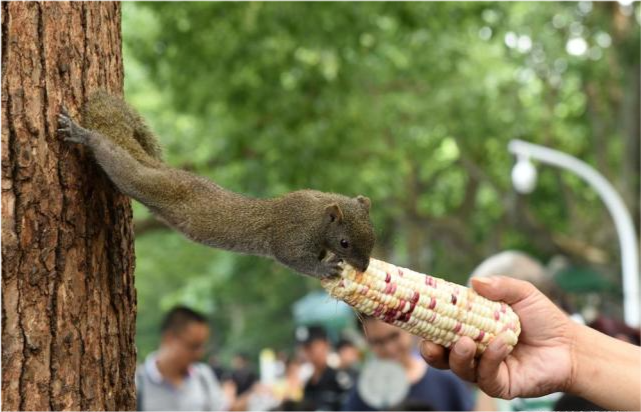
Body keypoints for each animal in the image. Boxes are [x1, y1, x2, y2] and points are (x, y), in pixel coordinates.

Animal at [58, 89, 376, 276]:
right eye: (345, 243)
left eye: (374, 235)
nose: (363, 268)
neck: (318, 213)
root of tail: (163, 168)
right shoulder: (292, 233)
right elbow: (293, 259)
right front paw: (324, 269)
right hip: (148, 182)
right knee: (118, 163)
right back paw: (83, 135)